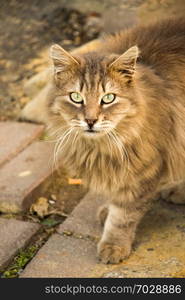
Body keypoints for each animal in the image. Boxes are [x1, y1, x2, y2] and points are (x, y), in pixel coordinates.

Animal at [23, 18, 185, 262]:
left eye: (108, 98)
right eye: (76, 97)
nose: (90, 120)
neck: (99, 148)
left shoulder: (143, 170)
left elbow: (123, 215)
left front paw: (113, 245)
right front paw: (106, 212)